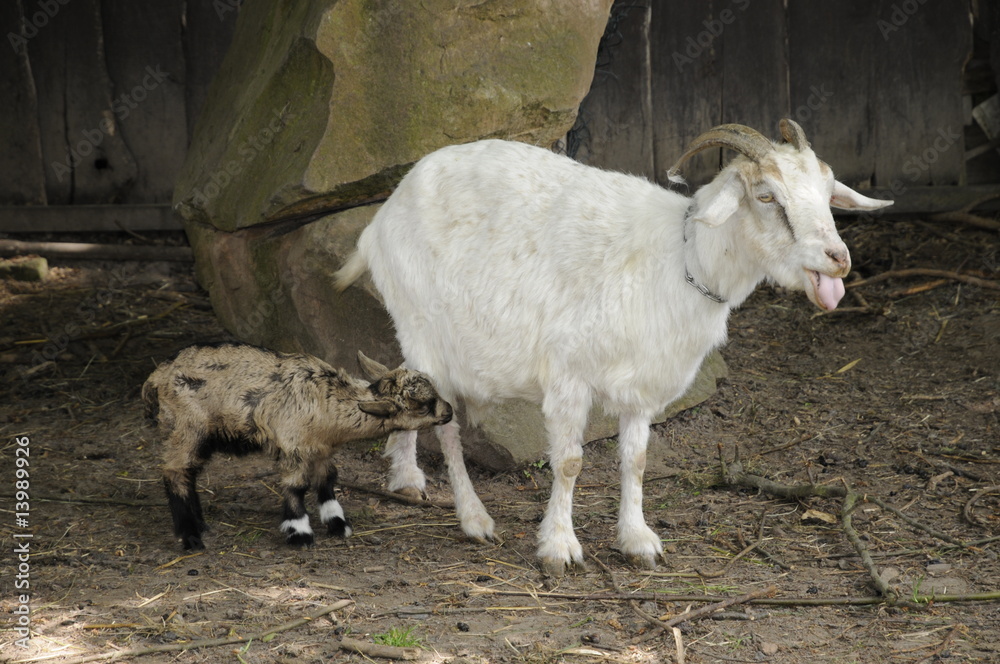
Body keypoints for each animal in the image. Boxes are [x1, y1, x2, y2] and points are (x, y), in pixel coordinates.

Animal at [142, 343, 453, 550]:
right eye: (424, 405)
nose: (449, 411)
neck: (327, 405)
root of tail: (156, 377)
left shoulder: (321, 450)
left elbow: (327, 480)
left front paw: (337, 523)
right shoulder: (293, 446)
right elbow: (296, 486)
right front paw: (300, 532)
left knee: (188, 471)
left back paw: (201, 525)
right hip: (187, 425)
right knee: (175, 471)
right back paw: (190, 536)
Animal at [334, 119, 892, 575]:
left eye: (828, 191)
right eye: (767, 196)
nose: (838, 259)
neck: (682, 258)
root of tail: (381, 218)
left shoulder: (643, 385)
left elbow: (636, 460)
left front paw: (638, 541)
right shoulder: (568, 376)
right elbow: (569, 463)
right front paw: (559, 548)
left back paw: (405, 475)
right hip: (425, 328)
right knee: (447, 428)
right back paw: (474, 519)